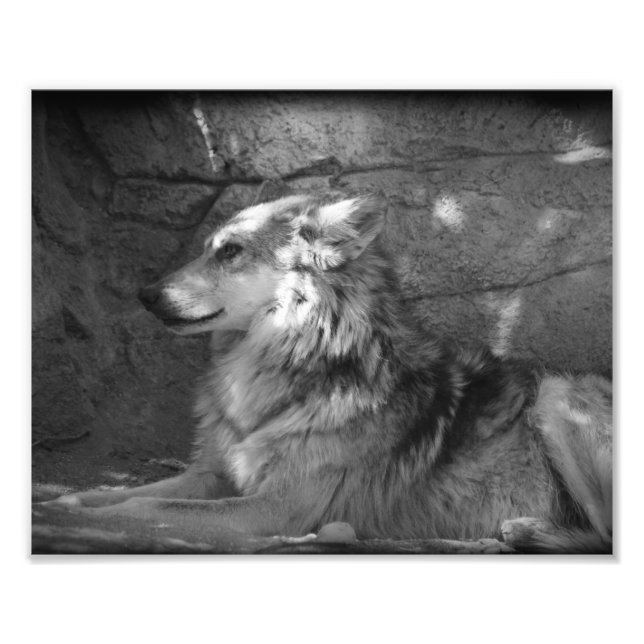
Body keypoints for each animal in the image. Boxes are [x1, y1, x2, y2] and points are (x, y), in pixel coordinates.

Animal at [55, 192, 613, 553]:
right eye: (206, 249)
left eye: (230, 252)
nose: (145, 295)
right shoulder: (211, 473)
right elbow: (120, 494)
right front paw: (65, 501)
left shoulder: (272, 508)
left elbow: (144, 511)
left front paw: (77, 519)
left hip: (557, 394)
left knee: (605, 536)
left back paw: (523, 533)